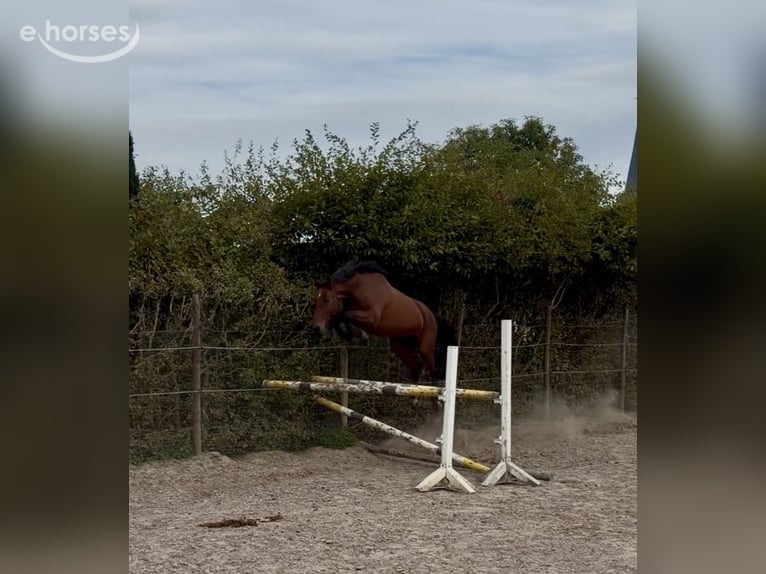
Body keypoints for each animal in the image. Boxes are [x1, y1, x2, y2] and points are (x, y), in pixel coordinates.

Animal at [312, 261, 456, 386]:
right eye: (316, 301)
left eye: (327, 300)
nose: (316, 328)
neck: (360, 289)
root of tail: (431, 314)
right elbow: (339, 317)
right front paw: (353, 335)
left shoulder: (372, 319)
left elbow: (345, 315)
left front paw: (359, 335)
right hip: (400, 346)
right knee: (416, 368)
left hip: (425, 348)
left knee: (433, 373)